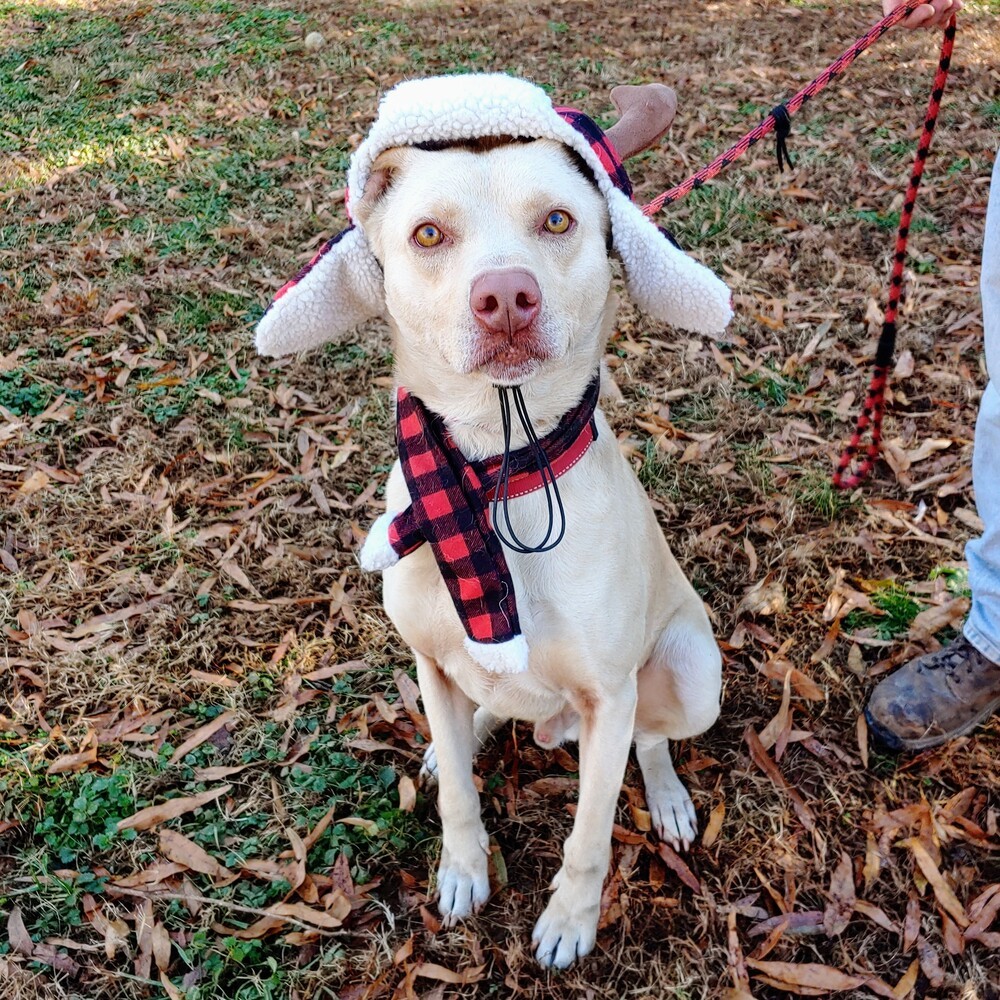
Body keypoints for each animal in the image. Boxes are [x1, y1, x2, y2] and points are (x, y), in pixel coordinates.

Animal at [254, 72, 732, 968]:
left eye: (559, 220)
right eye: (429, 234)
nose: (505, 295)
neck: (492, 473)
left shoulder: (609, 696)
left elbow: (590, 833)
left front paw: (569, 922)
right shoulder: (429, 661)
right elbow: (460, 801)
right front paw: (463, 871)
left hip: (690, 672)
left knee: (652, 740)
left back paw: (668, 798)